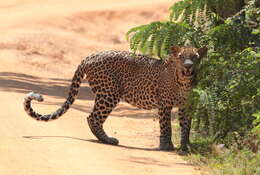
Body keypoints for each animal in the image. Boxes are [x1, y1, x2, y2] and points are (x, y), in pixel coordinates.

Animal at [23, 45, 207, 152]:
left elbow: (186, 127)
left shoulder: (187, 106)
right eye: (182, 57)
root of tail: (91, 56)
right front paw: (166, 147)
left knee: (92, 117)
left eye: (195, 57)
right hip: (109, 93)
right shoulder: (164, 104)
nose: (188, 66)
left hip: (106, 94)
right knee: (93, 117)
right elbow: (166, 127)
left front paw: (185, 147)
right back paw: (107, 140)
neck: (183, 81)